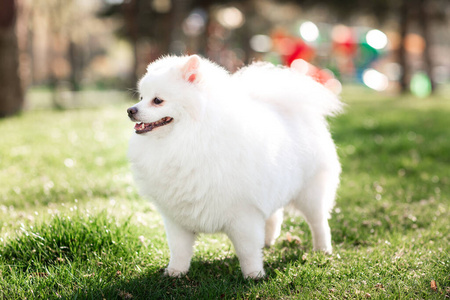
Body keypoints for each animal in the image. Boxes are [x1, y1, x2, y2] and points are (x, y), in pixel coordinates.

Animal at [126, 54, 342, 278]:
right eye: (141, 97)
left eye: (157, 100)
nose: (130, 110)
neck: (192, 137)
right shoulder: (176, 217)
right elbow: (179, 249)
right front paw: (175, 272)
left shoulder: (243, 214)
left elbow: (247, 250)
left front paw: (254, 275)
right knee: (274, 216)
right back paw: (268, 242)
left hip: (310, 193)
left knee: (318, 222)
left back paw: (323, 249)